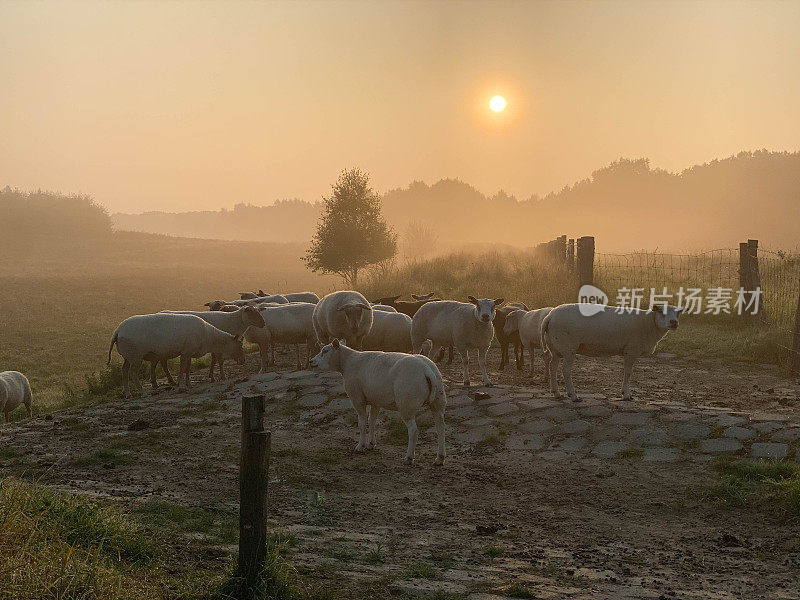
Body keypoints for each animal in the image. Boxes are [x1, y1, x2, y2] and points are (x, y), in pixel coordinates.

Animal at [108, 314, 244, 398]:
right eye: (240, 345)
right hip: (136, 355)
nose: (243, 360)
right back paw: (142, 392)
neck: (210, 337)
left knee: (124, 370)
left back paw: (127, 393)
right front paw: (181, 385)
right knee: (133, 373)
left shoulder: (189, 352)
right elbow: (182, 369)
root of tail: (118, 331)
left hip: (128, 356)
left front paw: (188, 383)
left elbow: (188, 369)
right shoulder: (186, 352)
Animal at [310, 338, 446, 464]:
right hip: (438, 401)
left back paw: (409, 457)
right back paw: (440, 458)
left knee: (413, 431)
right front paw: (371, 444)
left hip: (407, 404)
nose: (311, 361)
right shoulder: (376, 400)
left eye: (325, 351)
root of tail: (426, 369)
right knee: (440, 427)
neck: (347, 362)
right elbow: (372, 421)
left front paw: (360, 446)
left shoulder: (357, 399)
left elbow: (362, 423)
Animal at [536, 304, 680, 404]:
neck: (648, 323)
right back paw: (573, 396)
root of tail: (549, 317)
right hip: (568, 347)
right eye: (661, 312)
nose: (674, 322)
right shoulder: (631, 350)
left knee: (552, 367)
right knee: (565, 370)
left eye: (677, 313)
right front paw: (626, 395)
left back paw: (556, 393)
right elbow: (628, 373)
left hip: (555, 347)